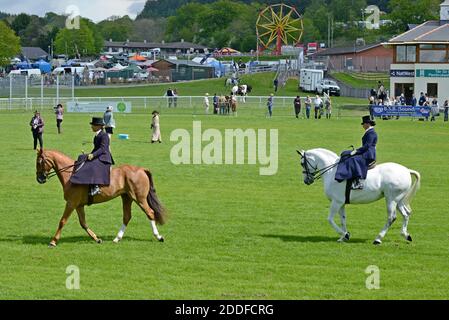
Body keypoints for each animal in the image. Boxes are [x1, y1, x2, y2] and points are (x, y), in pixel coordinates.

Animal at [35, 149, 166, 246]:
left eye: (39, 162)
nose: (39, 179)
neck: (71, 173)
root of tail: (142, 169)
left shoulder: (71, 203)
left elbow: (62, 221)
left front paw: (53, 241)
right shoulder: (78, 205)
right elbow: (83, 223)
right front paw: (96, 238)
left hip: (139, 199)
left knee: (150, 213)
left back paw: (159, 237)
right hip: (127, 197)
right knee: (127, 217)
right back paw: (117, 238)